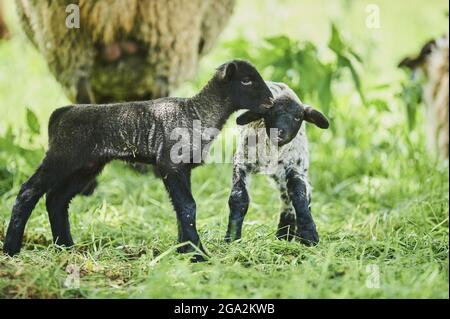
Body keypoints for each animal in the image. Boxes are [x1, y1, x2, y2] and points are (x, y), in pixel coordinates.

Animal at [227, 81, 328, 246]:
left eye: (297, 117)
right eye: (270, 114)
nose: (279, 133)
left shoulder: (294, 167)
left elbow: (299, 196)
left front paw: (308, 234)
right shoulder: (241, 162)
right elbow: (239, 197)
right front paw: (232, 237)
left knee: (296, 195)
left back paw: (287, 234)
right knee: (285, 197)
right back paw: (284, 235)